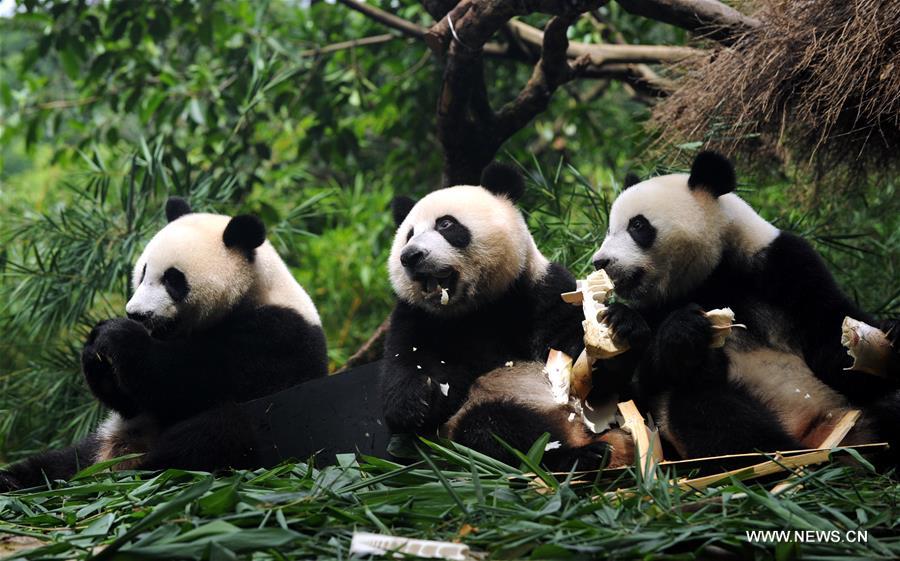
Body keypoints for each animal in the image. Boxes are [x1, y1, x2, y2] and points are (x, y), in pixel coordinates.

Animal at [0, 198, 327, 491]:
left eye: (172, 279)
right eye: (143, 272)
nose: (137, 314)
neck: (254, 290)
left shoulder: (274, 337)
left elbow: (188, 385)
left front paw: (119, 335)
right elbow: (133, 402)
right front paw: (96, 348)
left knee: (216, 432)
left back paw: (142, 471)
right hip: (101, 440)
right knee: (60, 461)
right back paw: (18, 480)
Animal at [381, 164, 633, 470]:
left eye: (446, 225)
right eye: (408, 234)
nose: (410, 256)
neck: (475, 309)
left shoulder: (541, 289)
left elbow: (567, 347)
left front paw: (607, 337)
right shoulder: (415, 316)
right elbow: (404, 363)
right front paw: (417, 402)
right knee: (493, 430)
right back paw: (583, 454)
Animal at [591, 151, 900, 459]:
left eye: (637, 225)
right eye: (609, 229)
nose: (600, 261)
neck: (712, 276)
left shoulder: (783, 265)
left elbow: (832, 343)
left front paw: (889, 333)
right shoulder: (658, 307)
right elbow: (637, 387)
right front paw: (648, 325)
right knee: (703, 407)